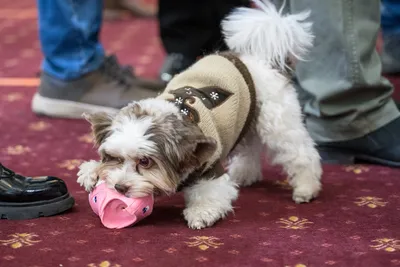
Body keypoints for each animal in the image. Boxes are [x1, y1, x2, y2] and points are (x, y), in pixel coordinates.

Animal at [77, 0, 322, 230]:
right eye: (115, 158)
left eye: (145, 161)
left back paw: (306, 187)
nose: (120, 187)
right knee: (251, 147)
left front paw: (201, 212)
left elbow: (213, 194)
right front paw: (91, 172)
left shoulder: (211, 169)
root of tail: (262, 60)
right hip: (247, 121)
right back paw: (245, 174)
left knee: (301, 154)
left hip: (278, 122)